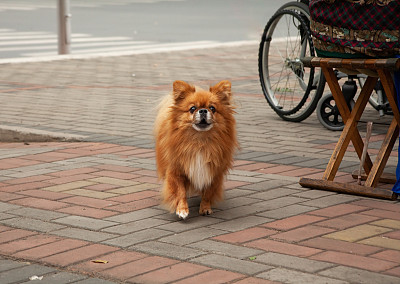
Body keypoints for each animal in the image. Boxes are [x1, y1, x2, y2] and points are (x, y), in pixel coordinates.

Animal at [154, 80, 238, 220]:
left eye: (212, 108)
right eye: (192, 108)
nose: (203, 110)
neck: (200, 142)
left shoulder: (213, 172)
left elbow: (208, 193)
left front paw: (205, 208)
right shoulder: (176, 171)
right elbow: (180, 191)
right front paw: (182, 210)